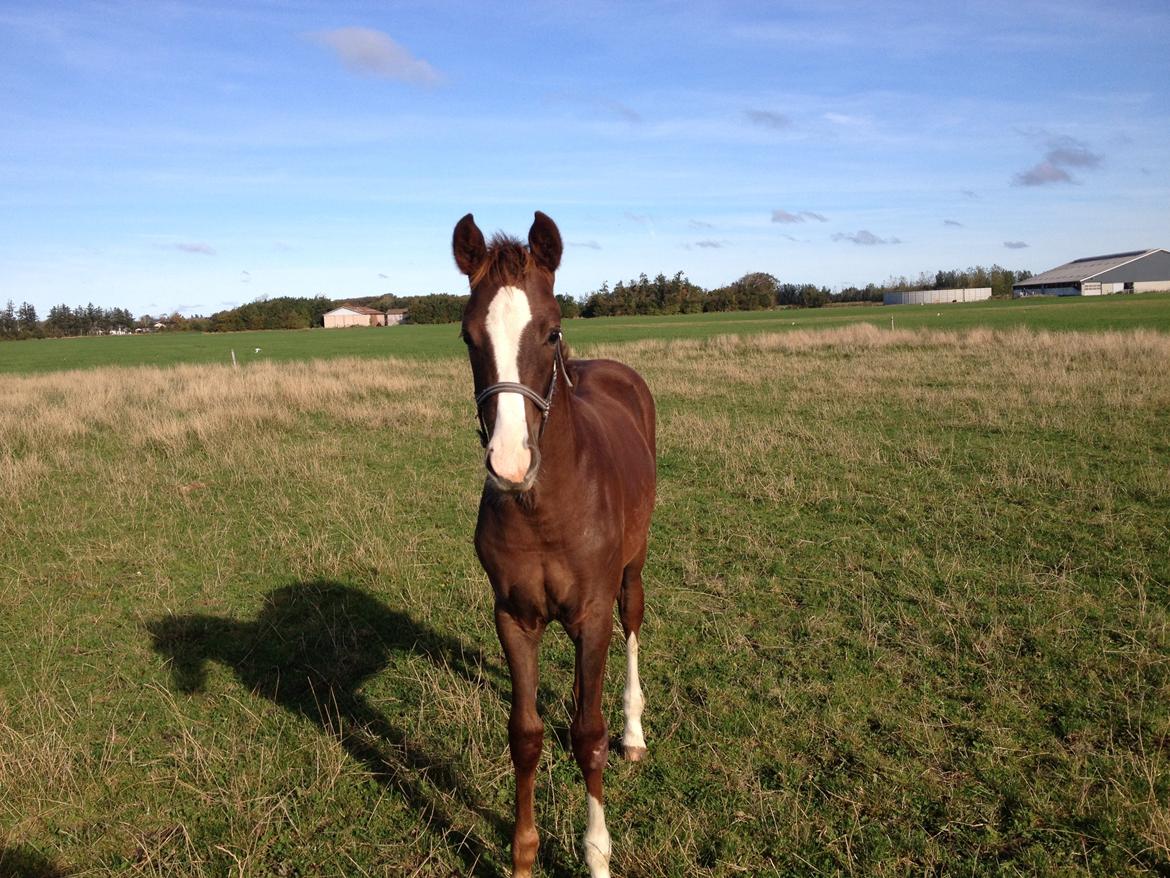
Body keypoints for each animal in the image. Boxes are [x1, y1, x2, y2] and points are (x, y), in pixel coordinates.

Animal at [449, 213, 655, 878]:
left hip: (632, 568)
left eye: (552, 330)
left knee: (632, 623)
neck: (544, 510)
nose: (510, 464)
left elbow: (589, 738)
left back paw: (634, 733)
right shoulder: (515, 616)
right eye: (468, 337)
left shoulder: (589, 613)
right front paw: (523, 855)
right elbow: (526, 734)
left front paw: (597, 856)